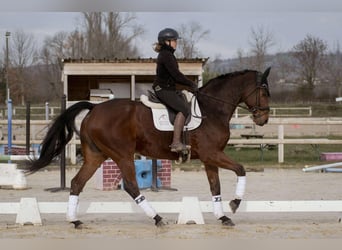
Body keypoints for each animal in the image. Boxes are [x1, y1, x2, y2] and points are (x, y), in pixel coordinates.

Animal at [27, 67, 270, 228]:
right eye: (264, 92)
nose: (263, 119)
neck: (212, 108)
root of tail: (94, 109)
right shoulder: (213, 154)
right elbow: (241, 170)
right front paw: (235, 204)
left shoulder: (209, 157)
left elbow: (215, 187)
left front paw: (223, 216)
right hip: (122, 154)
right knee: (131, 186)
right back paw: (157, 218)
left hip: (96, 155)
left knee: (78, 182)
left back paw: (75, 220)